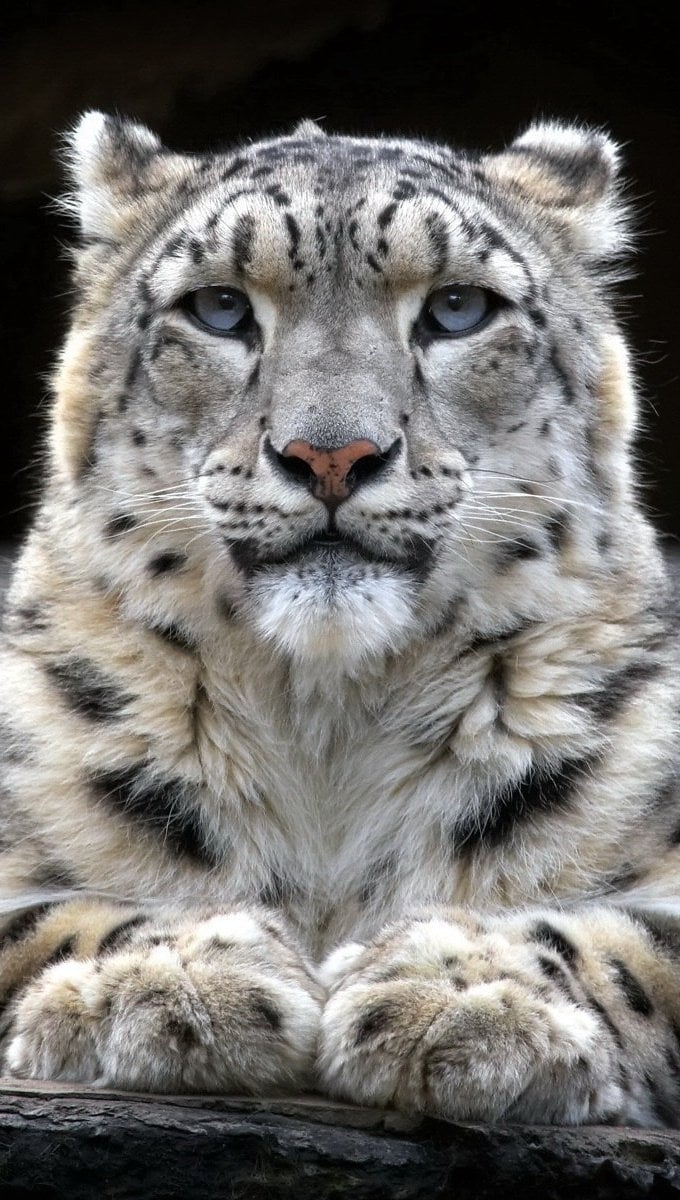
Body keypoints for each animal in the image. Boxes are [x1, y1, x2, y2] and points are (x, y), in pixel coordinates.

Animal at [1, 109, 680, 1128]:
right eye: (220, 308)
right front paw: (176, 974)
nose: (331, 455)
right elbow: (41, 916)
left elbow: (630, 940)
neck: (329, 723)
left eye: (457, 308)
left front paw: (459, 988)